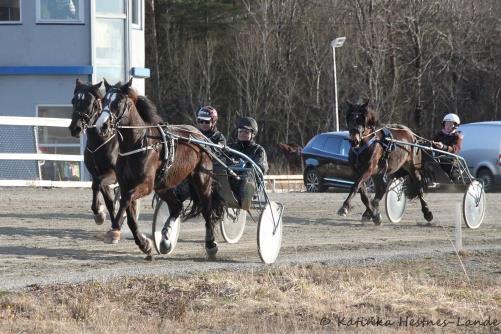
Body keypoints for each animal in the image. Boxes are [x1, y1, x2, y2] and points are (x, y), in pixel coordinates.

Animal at [68, 78, 119, 234]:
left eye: (89, 102)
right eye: (73, 100)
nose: (75, 128)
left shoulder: (113, 174)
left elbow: (97, 184)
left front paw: (100, 213)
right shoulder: (96, 173)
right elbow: (105, 196)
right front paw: (100, 213)